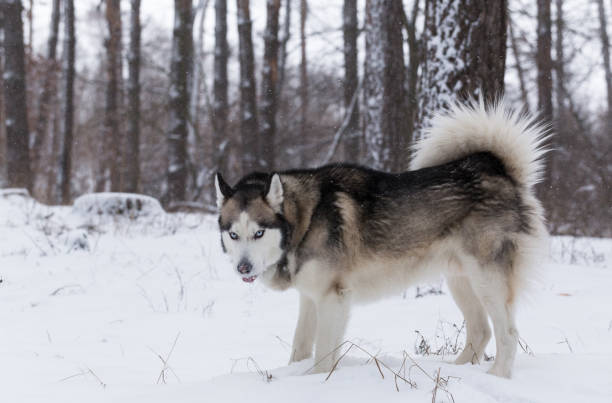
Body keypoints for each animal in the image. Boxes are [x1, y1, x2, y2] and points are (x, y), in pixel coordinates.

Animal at [215, 101, 548, 378]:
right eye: (233, 234)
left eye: (259, 232)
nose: (243, 268)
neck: (305, 219)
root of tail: (497, 170)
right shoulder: (310, 298)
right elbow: (300, 347)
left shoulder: (333, 298)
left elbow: (322, 356)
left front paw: (316, 383)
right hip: (460, 280)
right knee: (481, 332)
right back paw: (456, 373)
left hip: (487, 280)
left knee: (508, 334)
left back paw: (497, 378)